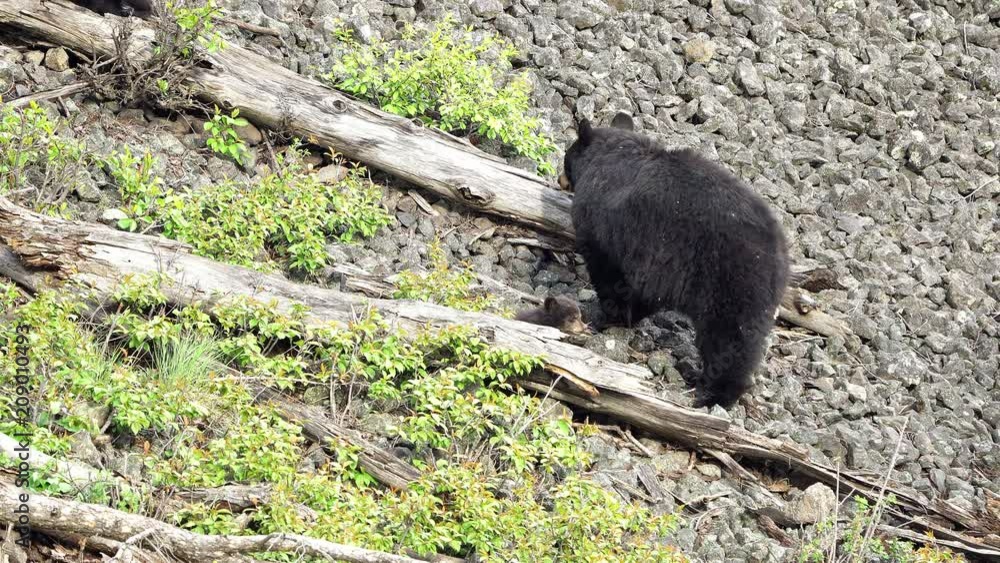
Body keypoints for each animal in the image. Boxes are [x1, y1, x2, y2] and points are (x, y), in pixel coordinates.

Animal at [560, 112, 790, 408]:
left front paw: (606, 316)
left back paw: (713, 395)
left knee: (728, 341)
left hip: (732, 283)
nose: (560, 179)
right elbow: (642, 293)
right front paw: (629, 317)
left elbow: (608, 272)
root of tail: (778, 254)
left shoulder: (606, 227)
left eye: (565, 157)